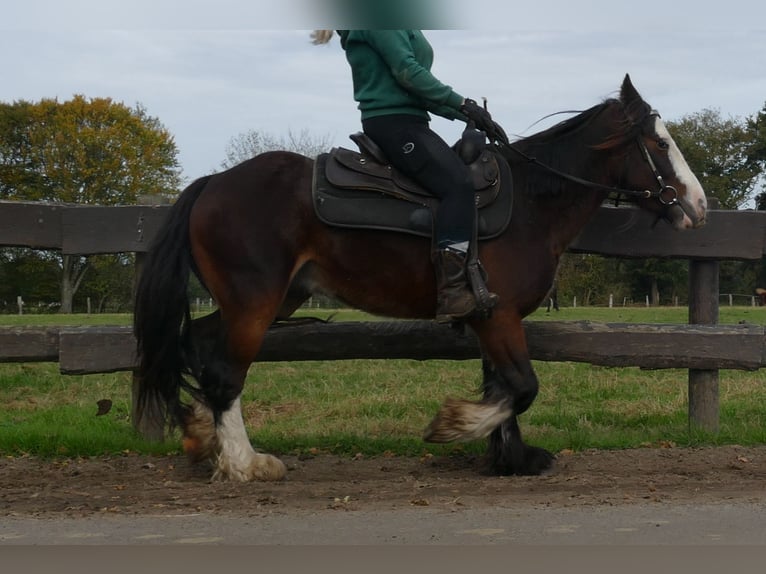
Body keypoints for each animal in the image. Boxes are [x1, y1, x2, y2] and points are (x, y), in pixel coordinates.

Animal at [132, 74, 708, 484]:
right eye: (660, 144)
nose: (698, 205)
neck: (530, 202)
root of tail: (211, 183)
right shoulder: (498, 316)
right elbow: (522, 386)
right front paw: (456, 425)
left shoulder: (491, 318)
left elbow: (505, 384)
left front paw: (512, 458)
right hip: (255, 304)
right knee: (226, 374)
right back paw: (244, 463)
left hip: (269, 300)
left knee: (198, 344)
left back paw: (202, 435)